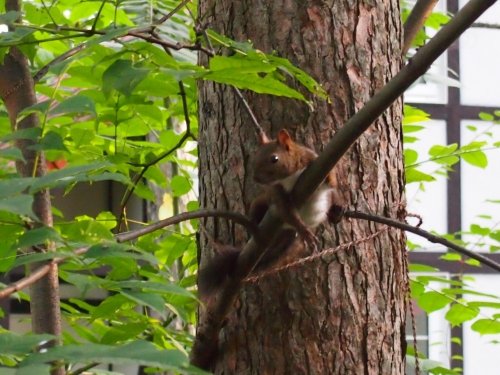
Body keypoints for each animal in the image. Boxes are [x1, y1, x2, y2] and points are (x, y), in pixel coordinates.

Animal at [198, 128, 344, 298]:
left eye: (274, 159)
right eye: (255, 157)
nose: (255, 178)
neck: (290, 177)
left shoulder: (316, 162)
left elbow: (333, 183)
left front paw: (337, 203)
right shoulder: (276, 193)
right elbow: (286, 211)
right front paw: (305, 232)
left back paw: (335, 212)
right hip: (260, 205)